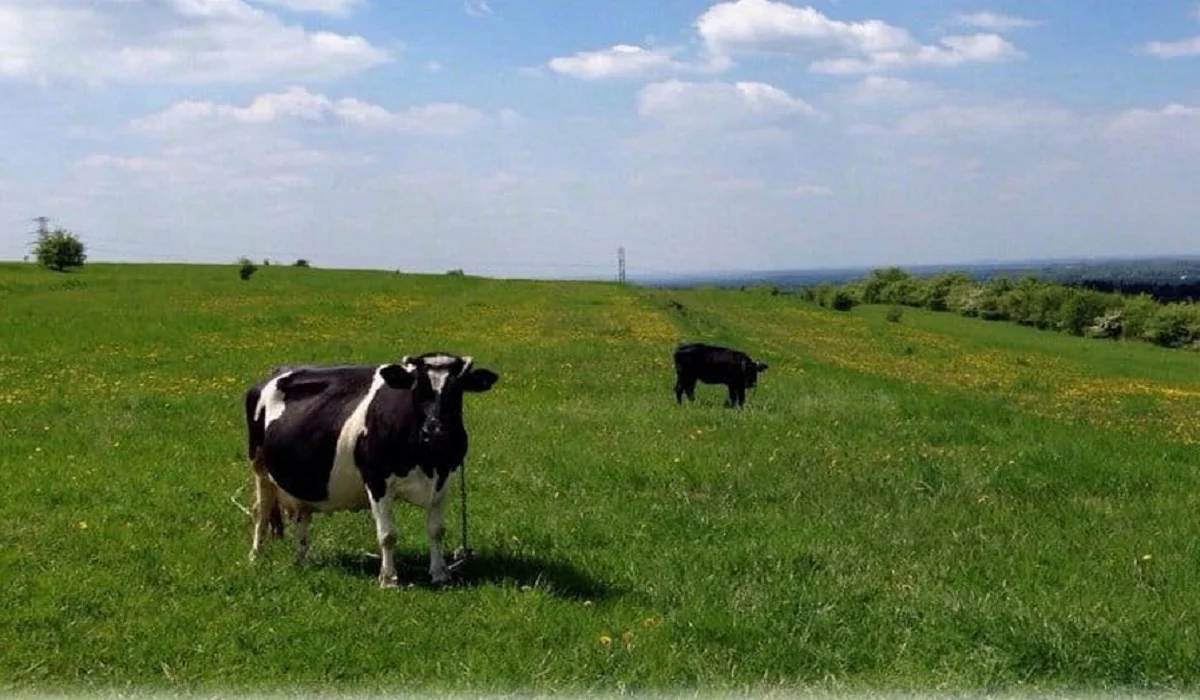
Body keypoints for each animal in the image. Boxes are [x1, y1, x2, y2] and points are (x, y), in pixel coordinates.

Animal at [243, 353, 496, 588]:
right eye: (417, 388)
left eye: (457, 389)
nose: (436, 431)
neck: (428, 462)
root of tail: (276, 371)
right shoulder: (376, 480)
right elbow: (388, 535)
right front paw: (389, 579)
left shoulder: (443, 480)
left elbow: (436, 530)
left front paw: (440, 574)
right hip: (259, 467)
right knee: (260, 511)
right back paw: (255, 556)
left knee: (301, 515)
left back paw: (302, 560)